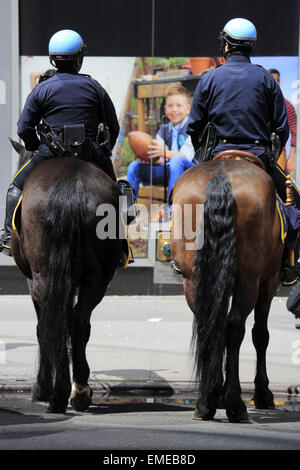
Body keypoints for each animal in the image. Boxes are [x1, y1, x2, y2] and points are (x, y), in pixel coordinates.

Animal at [9, 141, 123, 414]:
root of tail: (71, 184)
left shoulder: (32, 281)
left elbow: (41, 328)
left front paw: (41, 387)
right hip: (96, 280)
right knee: (77, 321)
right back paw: (79, 389)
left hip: (42, 278)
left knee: (54, 320)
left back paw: (56, 393)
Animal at [171, 157, 284, 422]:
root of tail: (221, 175)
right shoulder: (269, 281)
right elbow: (260, 335)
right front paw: (262, 393)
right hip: (249, 280)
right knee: (235, 328)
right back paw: (234, 403)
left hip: (193, 279)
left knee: (209, 325)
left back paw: (206, 402)